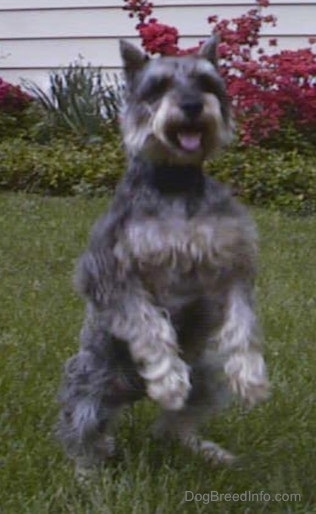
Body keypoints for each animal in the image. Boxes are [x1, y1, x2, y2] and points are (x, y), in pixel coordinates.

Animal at [57, 37, 270, 472]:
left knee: (175, 424)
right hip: (89, 377)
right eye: (158, 87)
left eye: (206, 83)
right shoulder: (111, 272)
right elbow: (149, 324)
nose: (191, 105)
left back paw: (205, 450)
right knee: (82, 427)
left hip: (206, 375)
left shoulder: (232, 266)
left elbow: (243, 322)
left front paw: (251, 376)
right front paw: (168, 380)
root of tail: (131, 392)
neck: (176, 182)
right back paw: (88, 471)